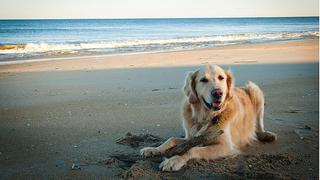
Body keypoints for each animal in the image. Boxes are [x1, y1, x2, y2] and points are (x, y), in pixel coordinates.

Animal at [141, 64, 276, 172]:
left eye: (221, 78)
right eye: (203, 80)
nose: (218, 93)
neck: (205, 117)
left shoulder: (225, 146)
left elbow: (193, 149)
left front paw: (175, 160)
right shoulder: (191, 137)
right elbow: (171, 139)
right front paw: (153, 149)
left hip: (255, 90)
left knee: (259, 124)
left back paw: (266, 135)